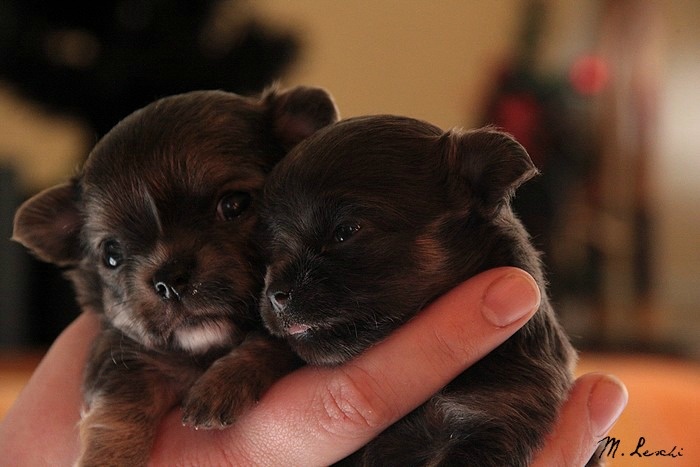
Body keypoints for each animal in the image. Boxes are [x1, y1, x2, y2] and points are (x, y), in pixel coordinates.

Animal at [11, 87, 340, 464]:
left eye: (235, 204)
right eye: (111, 255)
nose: (169, 280)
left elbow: (274, 341)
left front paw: (220, 386)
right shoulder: (126, 357)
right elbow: (118, 408)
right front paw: (105, 458)